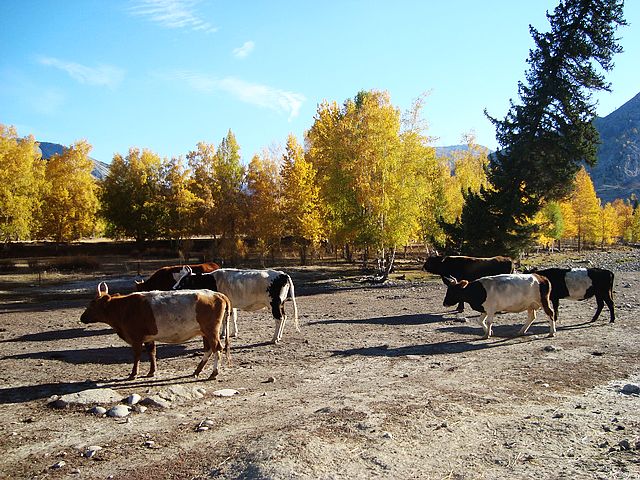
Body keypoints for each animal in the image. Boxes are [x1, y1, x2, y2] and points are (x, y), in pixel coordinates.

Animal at [79, 282, 230, 378]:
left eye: (92, 303)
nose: (82, 317)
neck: (124, 307)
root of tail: (217, 294)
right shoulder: (148, 338)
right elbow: (152, 353)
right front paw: (151, 372)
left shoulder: (136, 337)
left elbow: (137, 355)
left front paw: (133, 374)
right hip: (205, 332)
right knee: (209, 349)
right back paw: (197, 371)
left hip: (211, 331)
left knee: (217, 348)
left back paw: (214, 373)